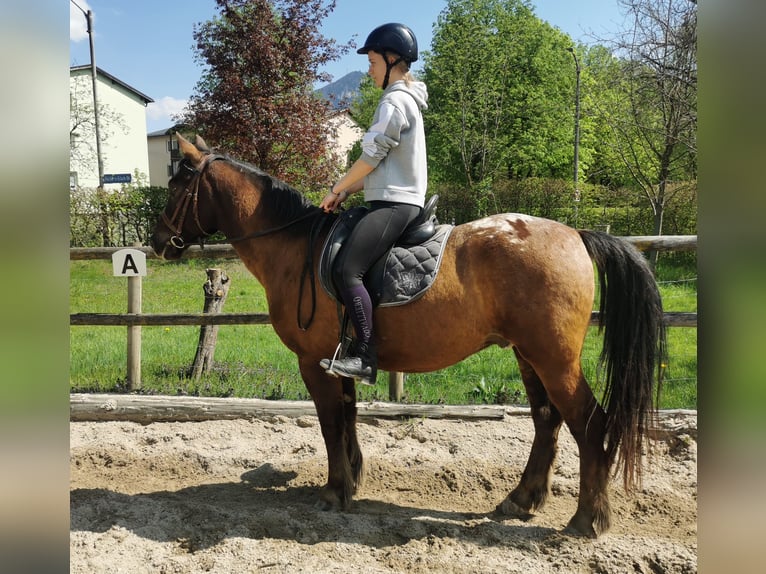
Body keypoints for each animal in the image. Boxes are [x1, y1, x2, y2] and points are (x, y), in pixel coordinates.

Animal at [150, 133, 666, 538]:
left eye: (176, 186)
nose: (157, 242)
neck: (297, 248)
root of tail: (576, 235)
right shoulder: (341, 357)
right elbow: (349, 416)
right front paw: (352, 481)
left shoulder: (313, 362)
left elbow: (330, 423)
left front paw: (334, 492)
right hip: (528, 355)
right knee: (547, 421)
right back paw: (521, 500)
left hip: (553, 359)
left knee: (590, 425)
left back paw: (587, 520)